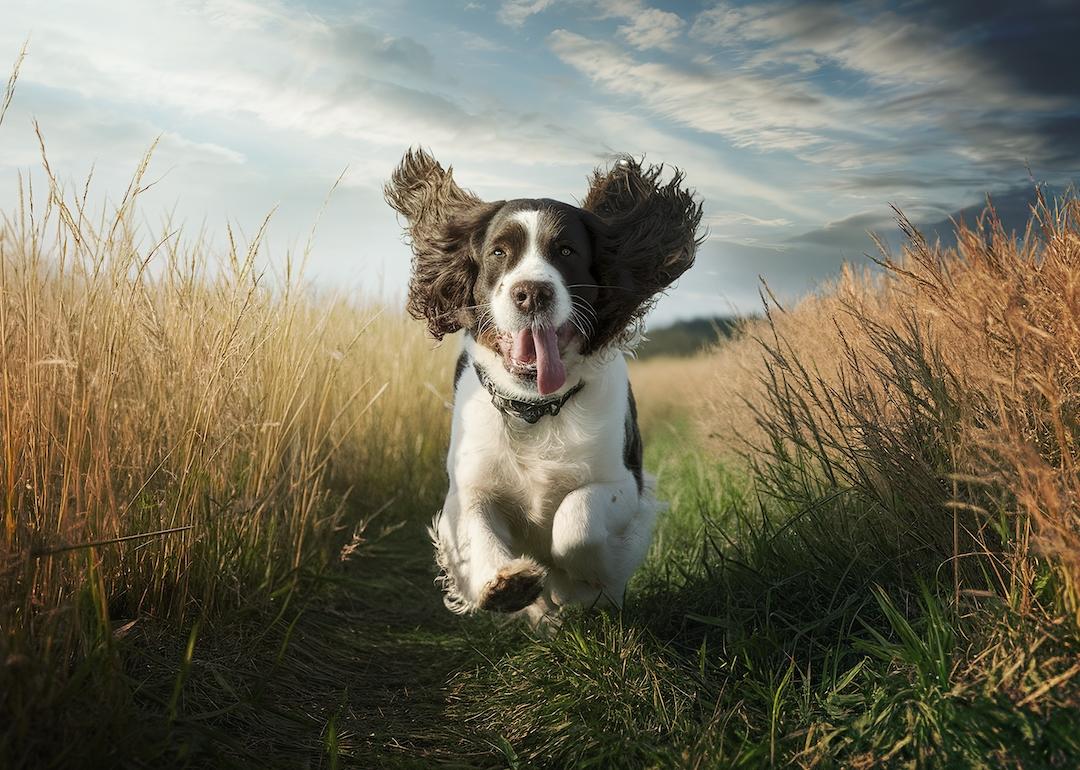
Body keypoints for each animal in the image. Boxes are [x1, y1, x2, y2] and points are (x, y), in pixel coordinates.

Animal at [384, 150, 704, 626]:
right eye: (499, 251)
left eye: (567, 251)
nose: (532, 292)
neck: (536, 408)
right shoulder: (467, 486)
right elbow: (476, 527)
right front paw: (505, 584)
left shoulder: (625, 484)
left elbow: (577, 520)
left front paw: (588, 581)